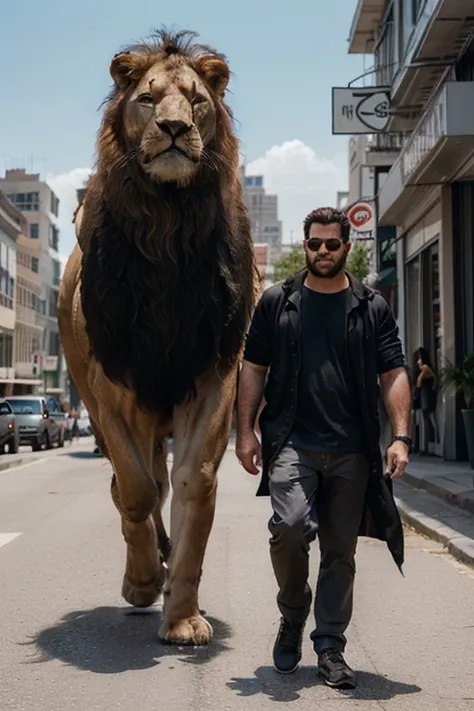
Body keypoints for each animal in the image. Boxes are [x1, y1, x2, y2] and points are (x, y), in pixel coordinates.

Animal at [60, 30, 260, 648]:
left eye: (195, 99)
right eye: (148, 99)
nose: (173, 128)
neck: (169, 229)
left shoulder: (213, 377)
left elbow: (193, 486)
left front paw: (183, 615)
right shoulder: (114, 390)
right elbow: (137, 492)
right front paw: (146, 583)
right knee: (132, 487)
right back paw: (143, 576)